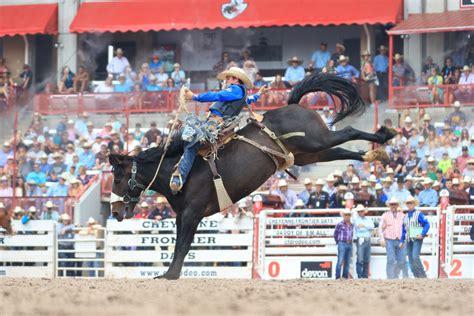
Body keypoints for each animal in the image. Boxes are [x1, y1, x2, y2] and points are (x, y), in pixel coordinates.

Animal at [109, 74, 394, 278]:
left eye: (117, 178)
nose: (114, 211)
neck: (175, 169)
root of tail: (292, 105)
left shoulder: (192, 213)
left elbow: (183, 245)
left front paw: (170, 275)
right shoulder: (182, 216)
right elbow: (181, 243)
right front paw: (168, 273)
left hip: (316, 140)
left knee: (348, 132)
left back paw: (385, 135)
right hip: (311, 153)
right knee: (342, 149)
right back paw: (377, 155)